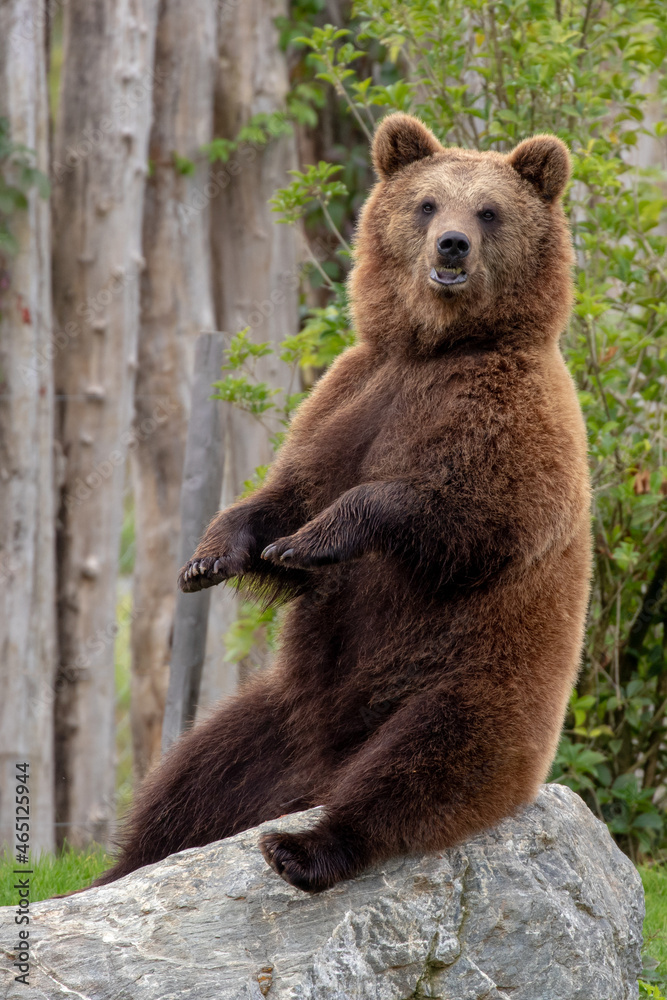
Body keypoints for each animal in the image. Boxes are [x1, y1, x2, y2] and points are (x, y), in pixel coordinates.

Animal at [95, 113, 591, 893]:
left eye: (488, 210)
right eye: (426, 203)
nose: (451, 245)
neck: (434, 348)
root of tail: (322, 767)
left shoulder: (509, 419)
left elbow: (468, 515)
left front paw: (314, 538)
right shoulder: (349, 393)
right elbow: (289, 489)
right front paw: (212, 558)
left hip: (475, 688)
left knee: (419, 767)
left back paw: (302, 848)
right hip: (278, 716)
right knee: (190, 778)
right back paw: (115, 869)